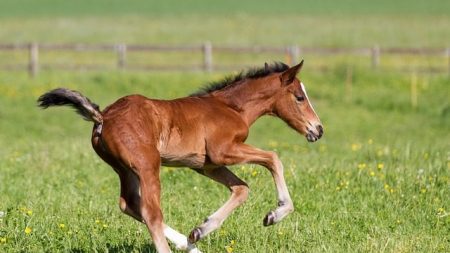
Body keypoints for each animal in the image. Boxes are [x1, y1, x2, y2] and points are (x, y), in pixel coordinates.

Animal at [37, 60, 322, 252]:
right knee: (151, 212)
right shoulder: (223, 151)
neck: (231, 108)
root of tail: (102, 117)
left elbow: (242, 189)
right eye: (299, 97)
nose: (318, 130)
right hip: (147, 165)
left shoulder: (206, 165)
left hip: (124, 169)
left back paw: (190, 246)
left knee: (130, 204)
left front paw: (199, 231)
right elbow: (273, 158)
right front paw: (276, 213)